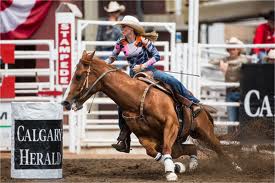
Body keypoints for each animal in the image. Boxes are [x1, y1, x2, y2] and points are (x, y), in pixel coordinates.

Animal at [62, 50, 242, 182]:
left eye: (78, 76)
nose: (66, 102)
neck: (138, 99)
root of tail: (202, 108)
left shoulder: (171, 125)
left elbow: (165, 149)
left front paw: (171, 172)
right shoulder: (145, 137)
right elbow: (152, 152)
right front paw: (174, 167)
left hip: (204, 132)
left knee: (218, 148)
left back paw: (236, 167)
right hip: (181, 142)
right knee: (192, 147)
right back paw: (191, 165)